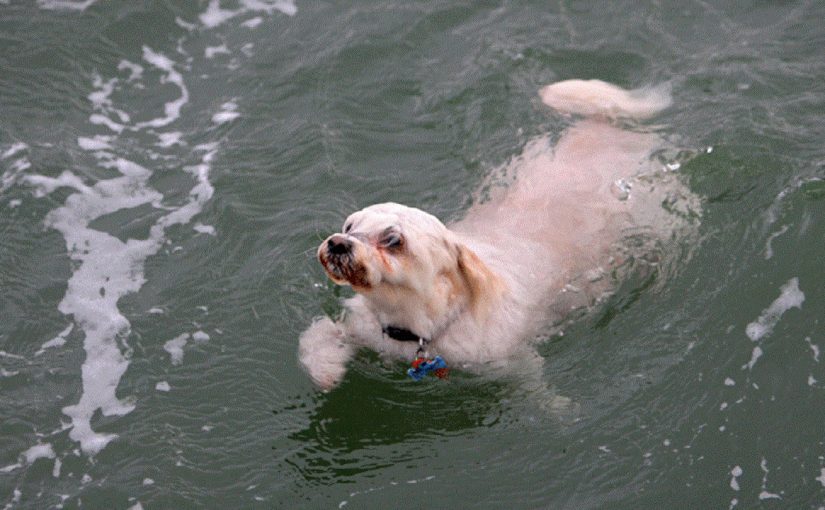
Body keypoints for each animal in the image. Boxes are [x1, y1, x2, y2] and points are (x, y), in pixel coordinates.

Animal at [299, 79, 697, 392]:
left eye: (393, 240)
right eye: (350, 227)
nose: (337, 243)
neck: (412, 326)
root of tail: (605, 125)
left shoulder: (508, 361)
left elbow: (536, 389)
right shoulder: (360, 328)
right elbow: (318, 335)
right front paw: (326, 372)